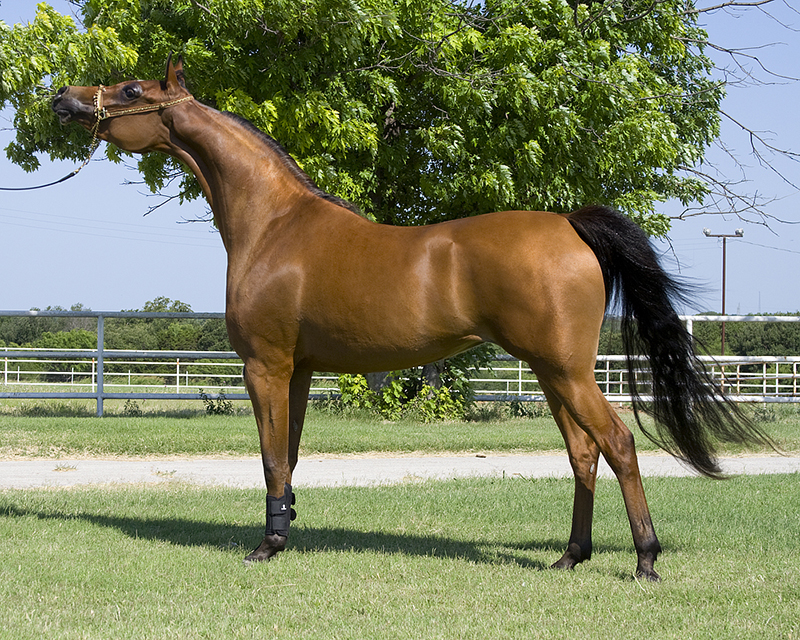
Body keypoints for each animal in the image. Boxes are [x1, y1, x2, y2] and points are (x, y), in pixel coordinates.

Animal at [51, 58, 768, 580]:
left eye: (131, 88)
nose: (63, 99)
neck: (275, 225)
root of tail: (569, 224)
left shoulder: (266, 365)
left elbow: (270, 456)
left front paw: (266, 545)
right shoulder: (300, 371)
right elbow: (290, 455)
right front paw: (284, 530)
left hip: (567, 371)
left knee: (617, 445)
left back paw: (645, 559)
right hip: (551, 372)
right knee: (583, 453)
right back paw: (570, 556)